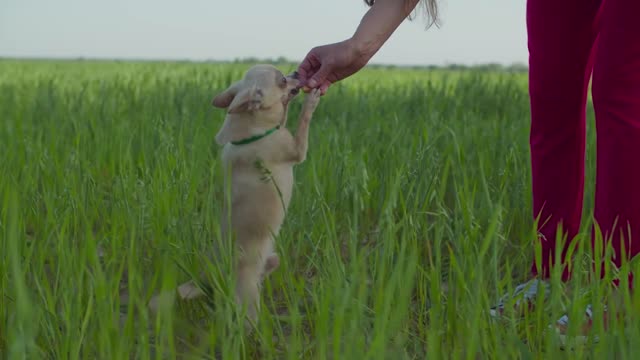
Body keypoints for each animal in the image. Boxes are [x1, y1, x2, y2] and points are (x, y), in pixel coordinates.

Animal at [148, 64, 322, 326]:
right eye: (282, 80)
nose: (295, 74)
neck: (249, 132)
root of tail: (206, 278)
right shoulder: (296, 149)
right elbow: (302, 120)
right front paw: (311, 100)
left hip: (273, 258)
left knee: (268, 268)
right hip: (247, 301)